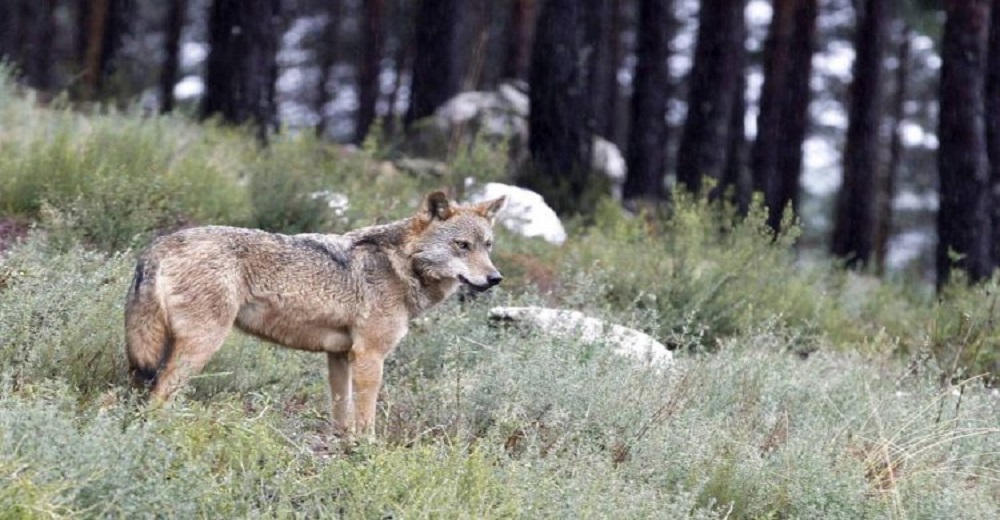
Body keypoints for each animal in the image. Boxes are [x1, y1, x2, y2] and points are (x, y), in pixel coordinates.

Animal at [123, 191, 508, 434]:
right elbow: (366, 418)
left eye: (487, 246)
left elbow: (342, 415)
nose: (495, 278)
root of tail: (160, 244)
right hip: (201, 345)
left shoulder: (339, 356)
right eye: (462, 246)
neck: (401, 266)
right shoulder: (370, 356)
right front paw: (369, 453)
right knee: (159, 396)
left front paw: (343, 448)